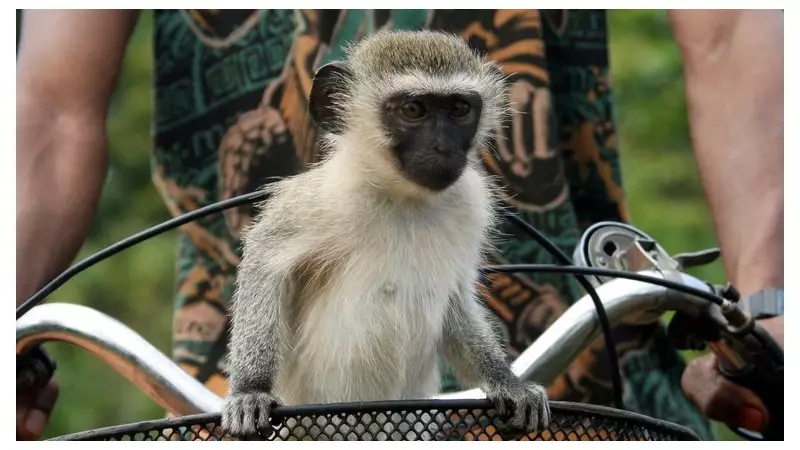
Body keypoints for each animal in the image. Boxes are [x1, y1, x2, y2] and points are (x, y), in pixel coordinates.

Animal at [221, 30, 552, 438]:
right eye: (413, 110)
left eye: (459, 109)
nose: (444, 148)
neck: (403, 196)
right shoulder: (319, 200)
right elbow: (264, 261)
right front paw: (250, 390)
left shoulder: (471, 204)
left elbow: (456, 299)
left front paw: (506, 380)